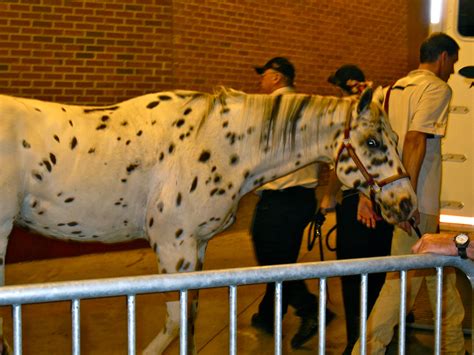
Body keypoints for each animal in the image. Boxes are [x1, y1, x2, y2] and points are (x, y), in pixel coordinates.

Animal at [0, 87, 414, 354]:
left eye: (395, 138)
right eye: (373, 143)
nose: (406, 204)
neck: (217, 142)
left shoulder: (196, 248)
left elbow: (191, 320)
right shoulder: (173, 248)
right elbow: (177, 321)